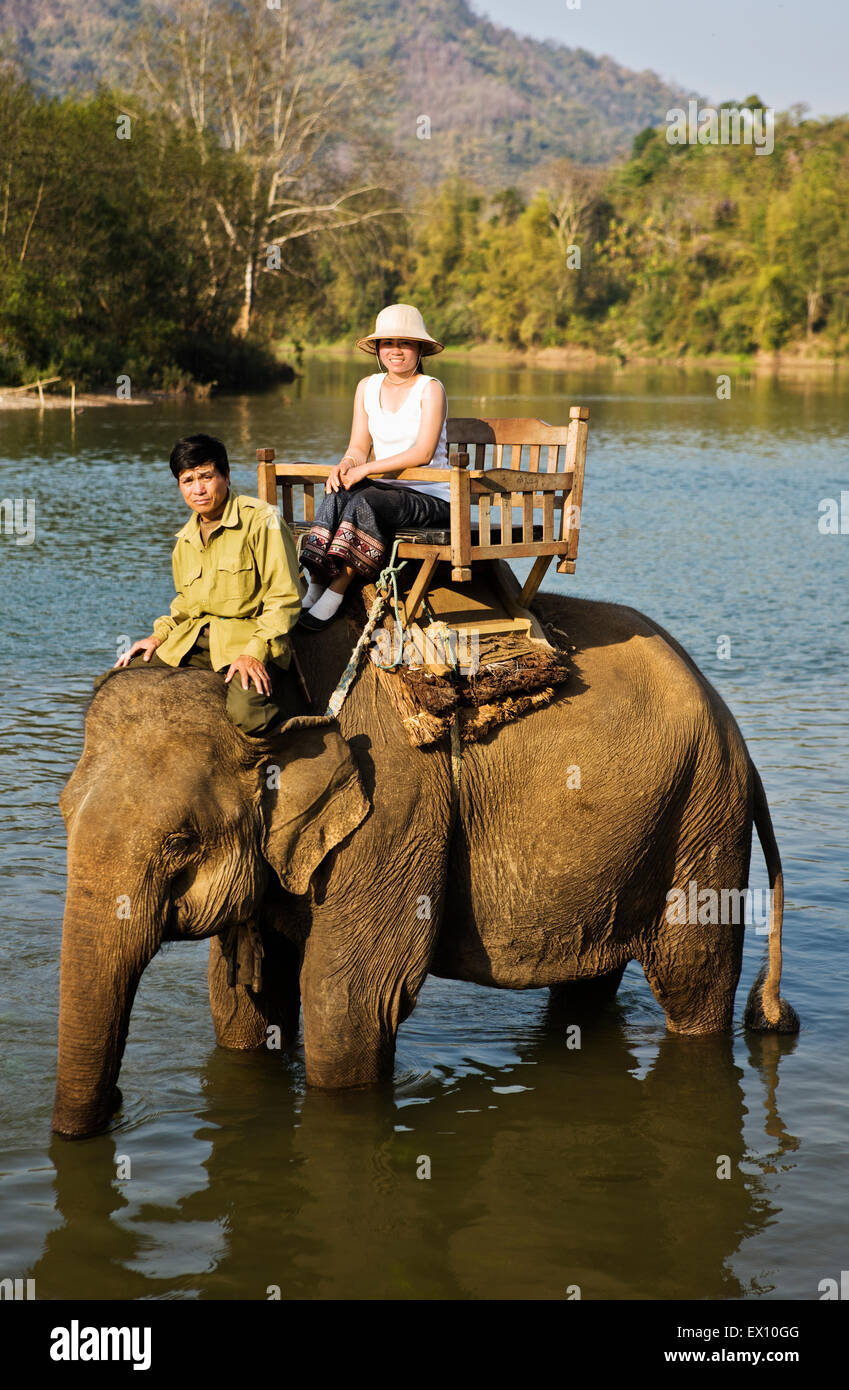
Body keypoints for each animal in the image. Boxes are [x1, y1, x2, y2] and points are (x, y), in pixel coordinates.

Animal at [52, 591, 798, 1138]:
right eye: (61, 812)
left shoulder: (392, 809)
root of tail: (734, 730)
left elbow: (348, 1007)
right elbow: (241, 1004)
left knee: (692, 981)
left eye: (181, 841)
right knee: (588, 983)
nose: (115, 1110)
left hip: (702, 819)